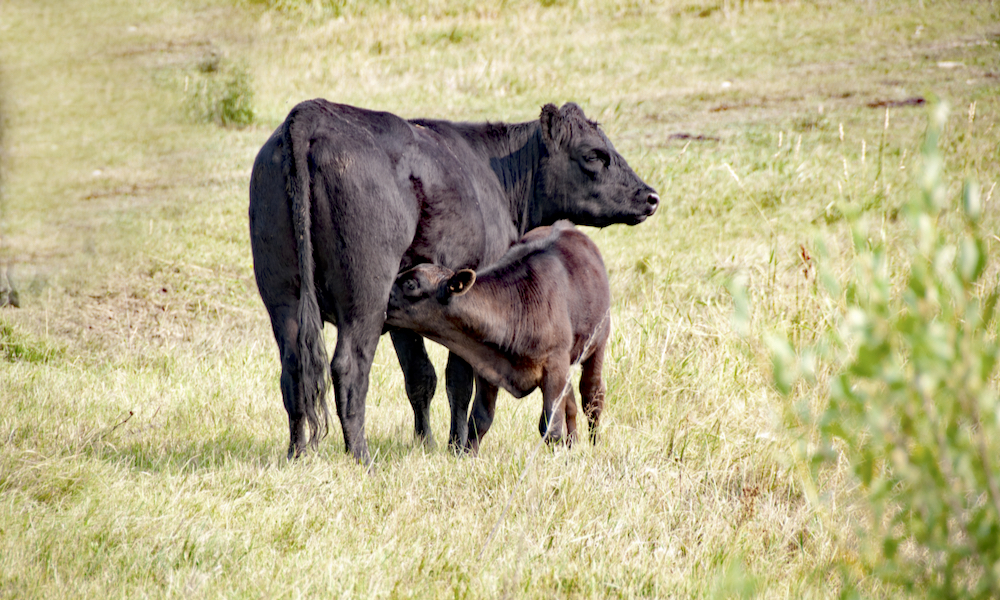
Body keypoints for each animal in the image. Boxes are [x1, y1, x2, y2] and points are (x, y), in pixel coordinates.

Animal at [385, 221, 610, 453]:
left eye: (411, 284)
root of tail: (563, 224)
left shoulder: (554, 364)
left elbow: (551, 427)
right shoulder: (487, 366)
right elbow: (479, 420)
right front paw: (468, 456)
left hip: (599, 339)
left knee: (592, 395)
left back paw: (594, 445)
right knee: (572, 402)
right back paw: (573, 445)